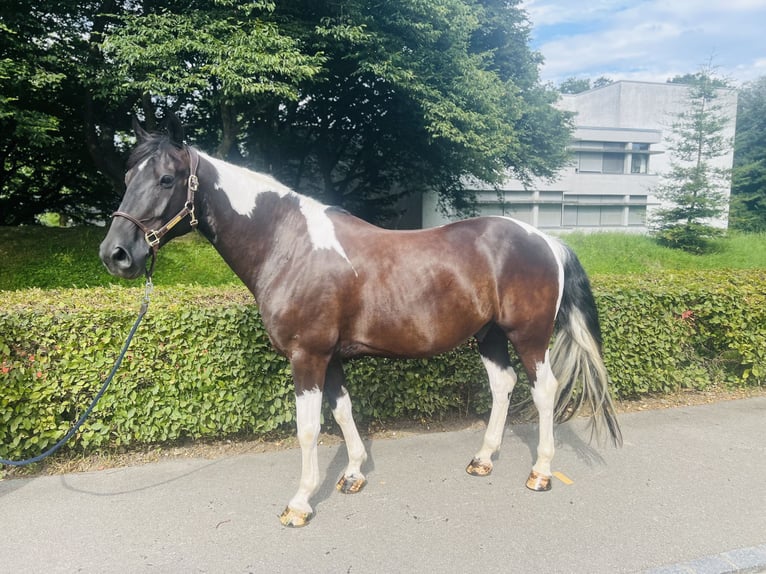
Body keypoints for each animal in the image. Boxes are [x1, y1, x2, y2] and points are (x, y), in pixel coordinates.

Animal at [100, 117, 624, 532]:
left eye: (167, 179)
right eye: (127, 175)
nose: (115, 254)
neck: (290, 246)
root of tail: (546, 240)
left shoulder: (307, 356)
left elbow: (309, 428)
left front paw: (300, 503)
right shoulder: (329, 356)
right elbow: (343, 412)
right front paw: (352, 474)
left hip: (529, 337)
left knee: (543, 389)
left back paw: (540, 472)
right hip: (490, 335)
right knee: (503, 384)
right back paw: (482, 460)